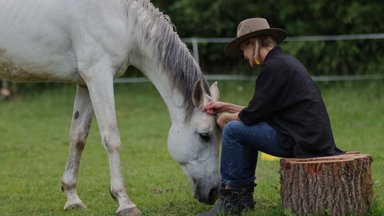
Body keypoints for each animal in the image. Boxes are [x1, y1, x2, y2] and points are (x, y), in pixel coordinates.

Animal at [0, 0, 220, 214]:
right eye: (205, 136)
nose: (214, 192)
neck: (124, 19)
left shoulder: (85, 83)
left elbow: (78, 137)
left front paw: (72, 198)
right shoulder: (99, 75)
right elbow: (111, 138)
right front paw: (124, 202)